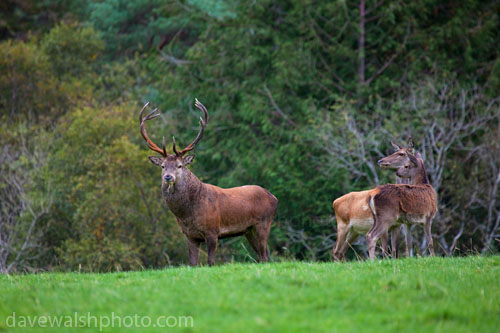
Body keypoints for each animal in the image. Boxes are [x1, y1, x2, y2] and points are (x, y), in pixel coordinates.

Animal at [140, 98, 278, 264]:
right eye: (162, 166)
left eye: (179, 165)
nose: (168, 177)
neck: (187, 214)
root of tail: (274, 197)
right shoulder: (190, 235)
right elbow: (192, 263)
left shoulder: (212, 231)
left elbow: (211, 262)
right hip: (248, 230)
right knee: (263, 256)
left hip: (263, 223)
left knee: (264, 256)